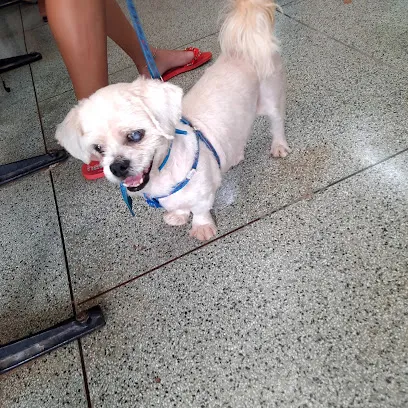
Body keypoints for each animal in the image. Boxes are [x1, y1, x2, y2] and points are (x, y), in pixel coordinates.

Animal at [55, 0, 290, 241]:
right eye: (98, 148)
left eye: (136, 135)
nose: (118, 167)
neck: (161, 176)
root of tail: (242, 47)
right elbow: (180, 206)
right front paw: (178, 215)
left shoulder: (203, 192)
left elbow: (200, 209)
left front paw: (201, 227)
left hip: (271, 97)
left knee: (277, 123)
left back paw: (279, 146)